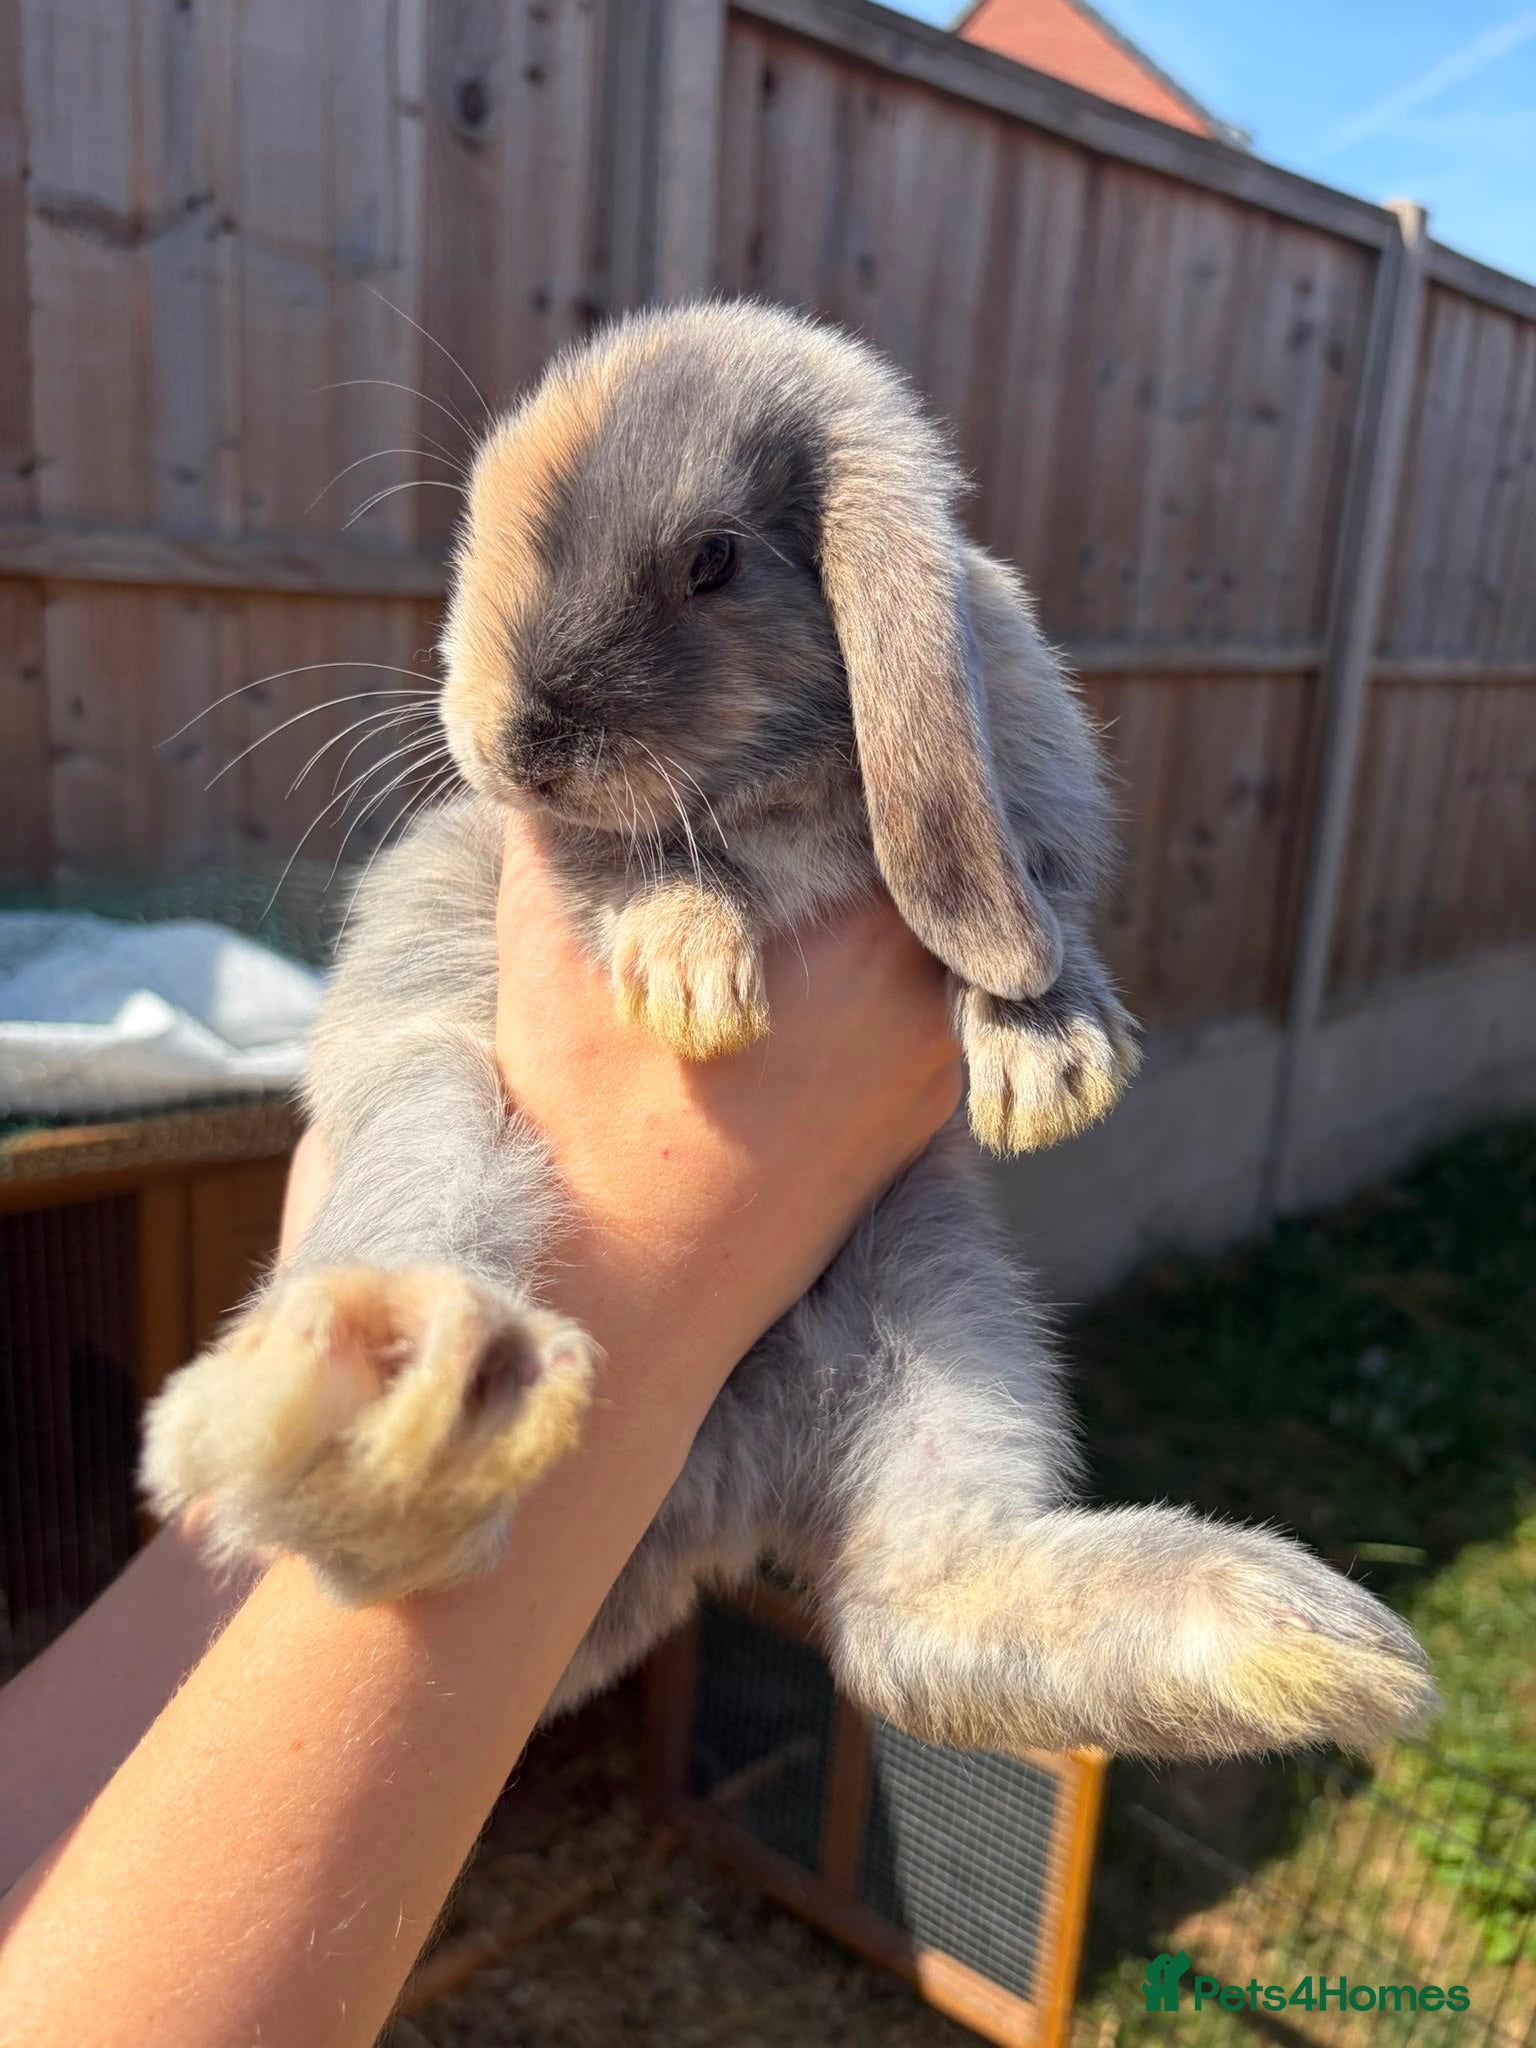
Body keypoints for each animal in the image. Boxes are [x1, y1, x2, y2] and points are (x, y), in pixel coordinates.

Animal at [142, 300, 1435, 1760]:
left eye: (713, 560)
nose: (511, 742)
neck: (780, 780)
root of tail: (710, 1483)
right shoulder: (531, 855)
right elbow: (627, 861)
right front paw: (694, 975)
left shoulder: (1036, 796)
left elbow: (1039, 909)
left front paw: (1051, 1062)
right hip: (434, 1118)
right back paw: (391, 1412)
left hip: (941, 1301)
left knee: (908, 1617)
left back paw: (1311, 1647)